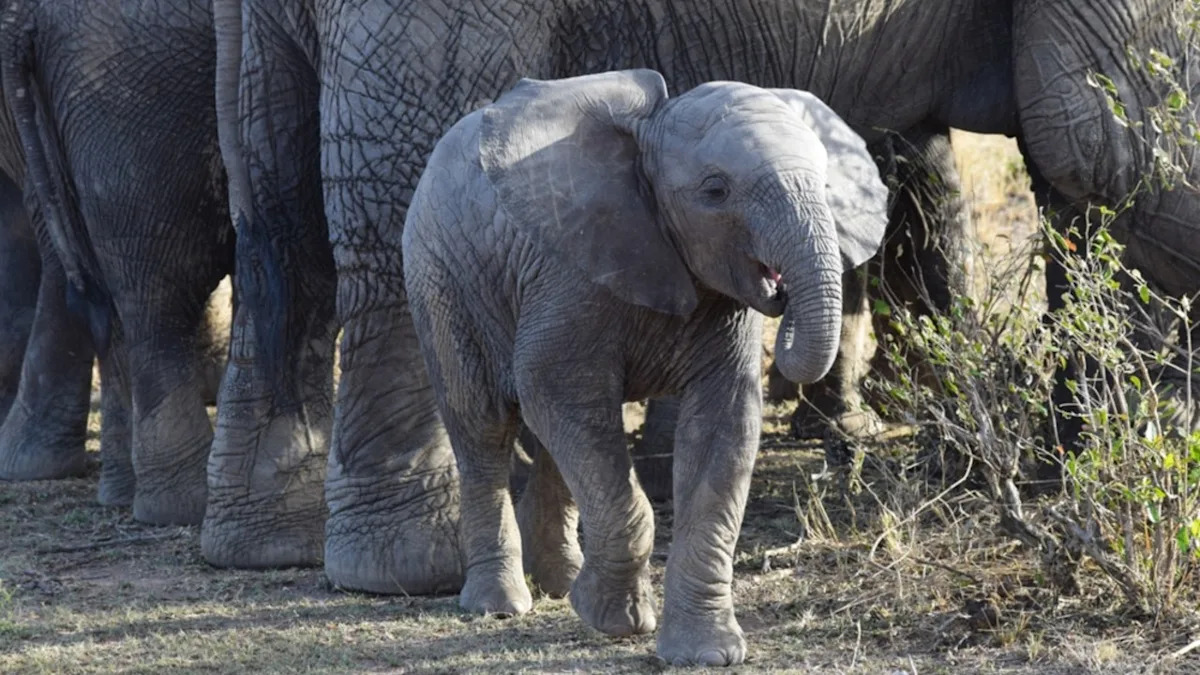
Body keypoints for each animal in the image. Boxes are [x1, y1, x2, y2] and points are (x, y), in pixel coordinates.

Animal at [404, 70, 889, 665]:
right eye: (715, 191)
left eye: (826, 186)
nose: (779, 292)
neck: (649, 133)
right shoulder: (570, 272)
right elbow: (554, 389)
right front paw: (616, 621)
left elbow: (723, 429)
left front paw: (706, 653)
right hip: (438, 273)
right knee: (483, 426)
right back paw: (502, 605)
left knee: (553, 442)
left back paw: (561, 585)